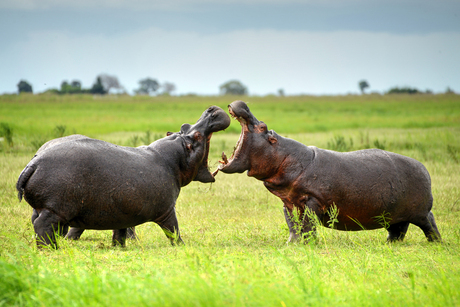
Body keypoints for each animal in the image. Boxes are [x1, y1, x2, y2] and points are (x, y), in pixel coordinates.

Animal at [17, 107, 230, 249]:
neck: (173, 159)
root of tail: (33, 162)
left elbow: (120, 231)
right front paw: (182, 245)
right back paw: (51, 249)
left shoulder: (124, 211)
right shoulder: (167, 209)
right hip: (56, 209)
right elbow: (173, 229)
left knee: (39, 223)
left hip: (46, 208)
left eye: (184, 126)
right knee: (42, 226)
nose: (211, 110)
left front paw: (119, 247)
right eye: (197, 136)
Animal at [216, 100, 442, 243]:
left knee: (429, 223)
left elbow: (308, 225)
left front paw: (308, 245)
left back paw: (436, 243)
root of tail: (424, 168)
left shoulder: (311, 200)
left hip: (421, 212)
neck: (285, 157)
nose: (244, 104)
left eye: (262, 127)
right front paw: (292, 244)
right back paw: (389, 244)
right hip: (395, 213)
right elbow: (293, 225)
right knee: (398, 230)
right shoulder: (289, 202)